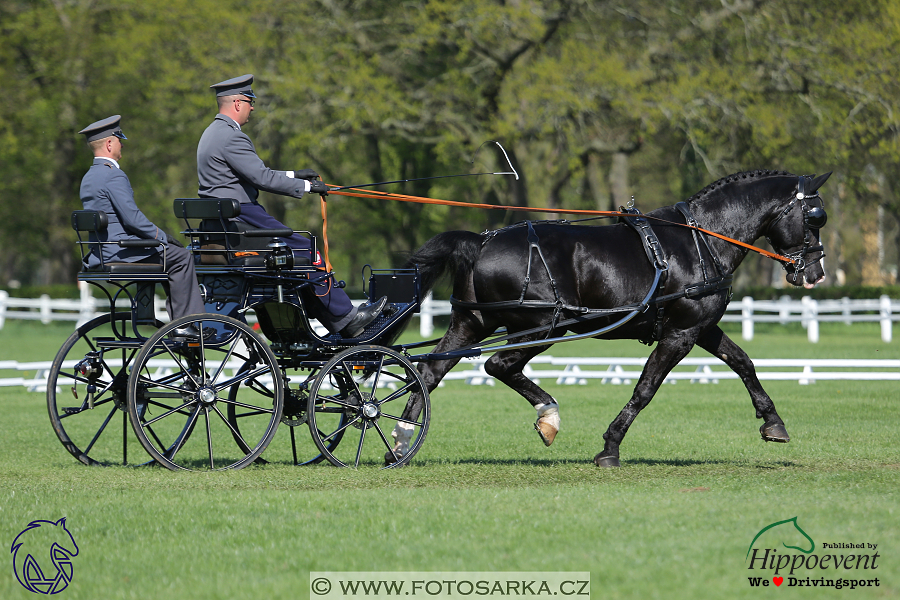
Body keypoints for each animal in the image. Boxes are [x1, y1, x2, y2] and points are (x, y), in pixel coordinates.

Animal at [390, 171, 832, 466]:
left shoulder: (699, 328)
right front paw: (610, 446)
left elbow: (743, 362)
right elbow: (645, 389)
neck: (701, 239)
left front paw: (772, 422)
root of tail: (481, 241)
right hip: (544, 326)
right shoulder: (681, 333)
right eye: (815, 216)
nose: (815, 273)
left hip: (473, 323)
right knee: (498, 365)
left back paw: (401, 441)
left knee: (428, 373)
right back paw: (548, 416)